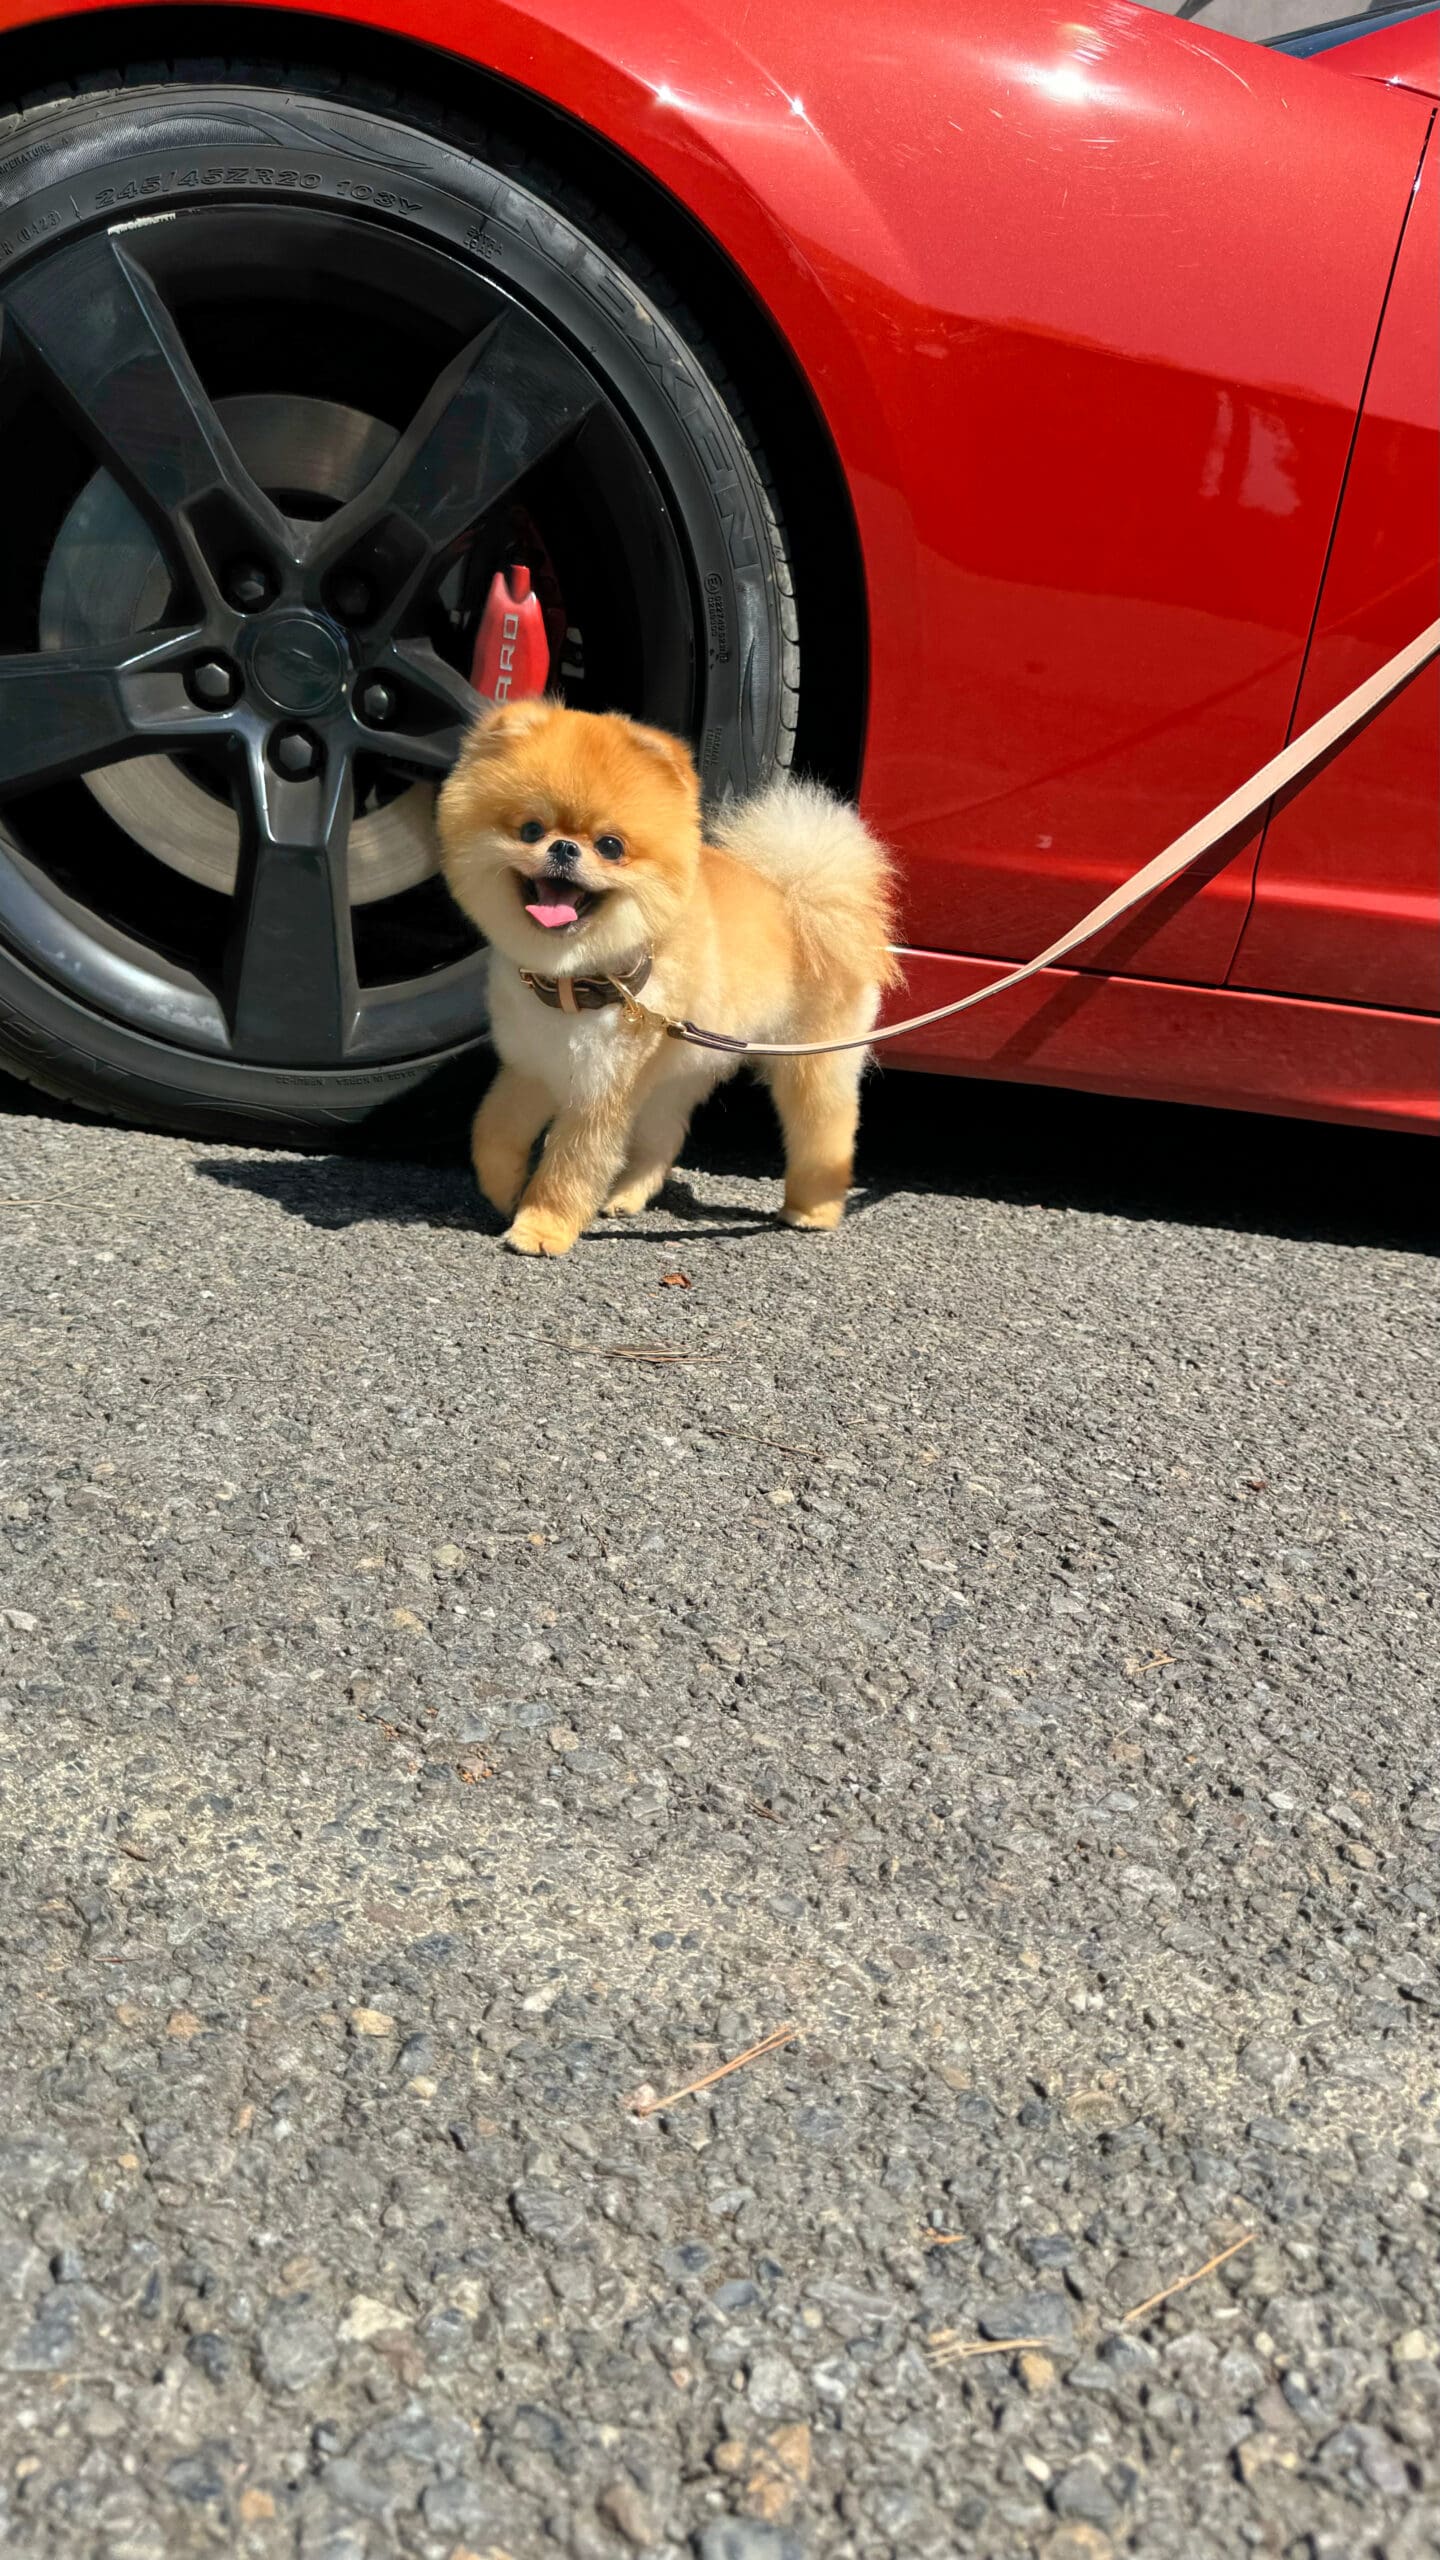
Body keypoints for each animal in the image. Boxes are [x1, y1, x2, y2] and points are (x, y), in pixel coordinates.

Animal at [435, 700, 899, 1256]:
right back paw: (626, 1195)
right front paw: (502, 1188)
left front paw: (541, 1227)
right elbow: (492, 1129)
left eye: (610, 845)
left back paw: (813, 1209)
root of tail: (799, 893)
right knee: (666, 1132)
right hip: (679, 1067)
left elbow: (570, 1166)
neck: (575, 980)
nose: (564, 848)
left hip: (810, 1058)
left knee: (824, 1127)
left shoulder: (600, 1092)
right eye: (529, 830)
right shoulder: (531, 1067)